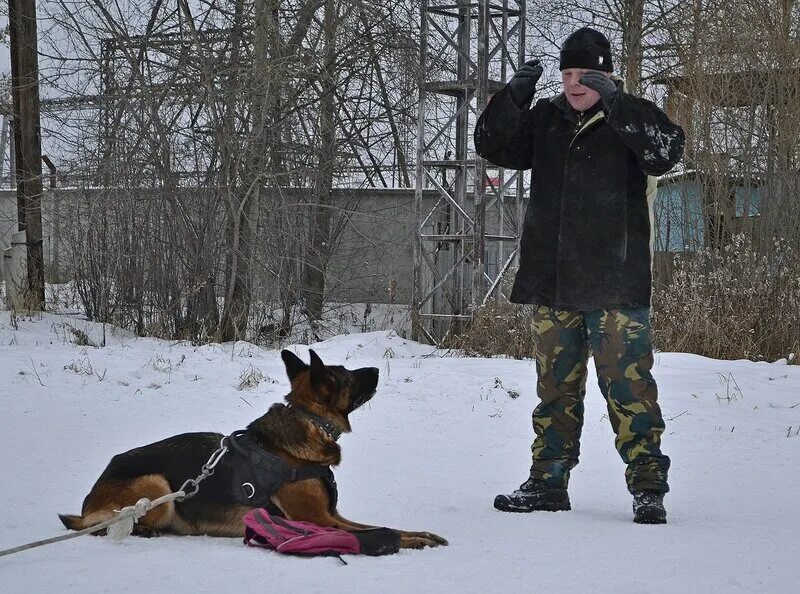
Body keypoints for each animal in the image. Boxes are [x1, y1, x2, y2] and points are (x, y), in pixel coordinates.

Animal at [61, 350, 450, 548]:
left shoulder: (332, 515)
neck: (309, 422)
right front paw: (411, 541)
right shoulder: (318, 519)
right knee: (104, 525)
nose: (376, 369)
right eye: (347, 375)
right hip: (157, 483)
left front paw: (421, 534)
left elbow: (380, 525)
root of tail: (90, 499)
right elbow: (378, 532)